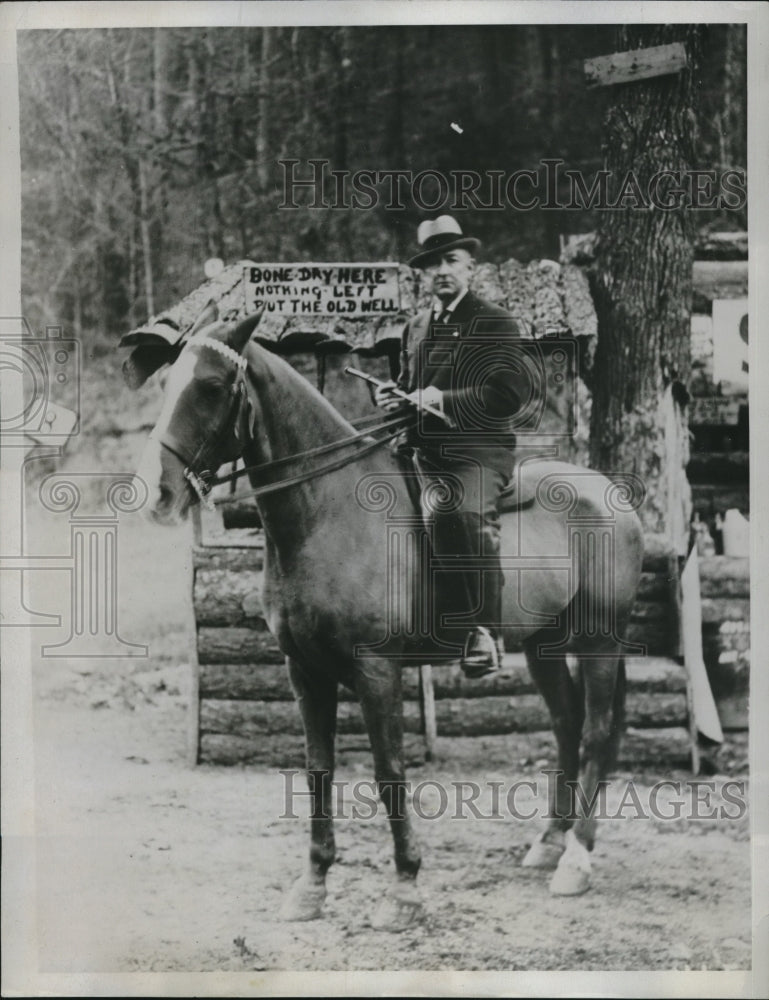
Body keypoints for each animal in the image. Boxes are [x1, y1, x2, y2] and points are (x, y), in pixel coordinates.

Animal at [134, 310, 648, 928]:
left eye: (211, 386)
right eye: (166, 383)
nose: (159, 494)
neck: (327, 509)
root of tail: (606, 489)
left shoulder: (377, 671)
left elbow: (389, 772)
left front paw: (405, 887)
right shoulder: (304, 669)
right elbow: (319, 770)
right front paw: (313, 885)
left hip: (599, 639)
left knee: (594, 731)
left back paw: (576, 858)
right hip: (542, 645)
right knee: (568, 724)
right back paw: (550, 843)